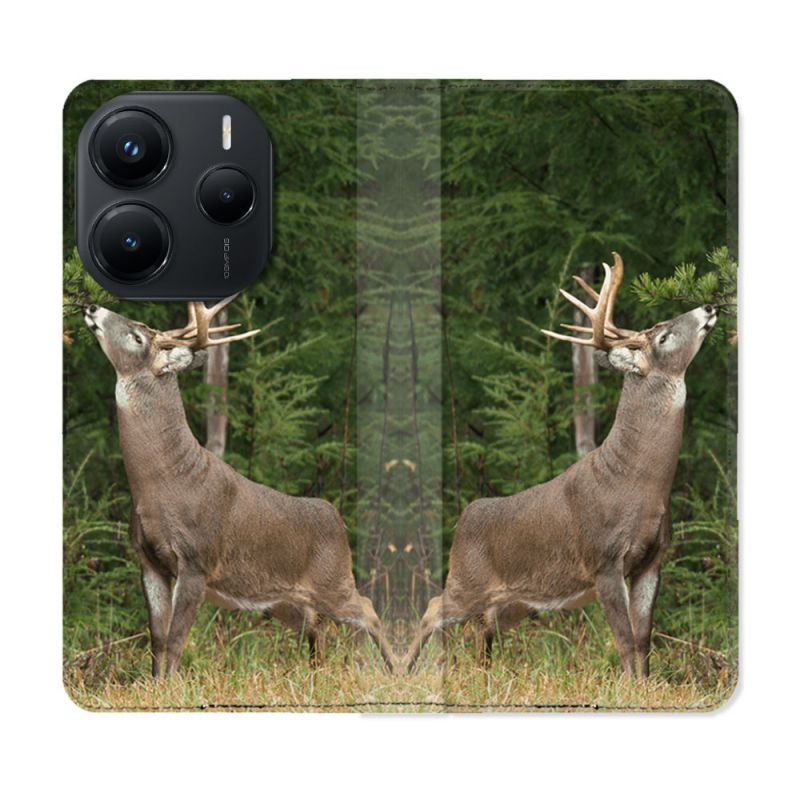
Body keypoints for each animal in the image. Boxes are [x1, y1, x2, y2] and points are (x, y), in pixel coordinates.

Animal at [84, 297, 396, 677]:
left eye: (137, 336)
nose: (92, 307)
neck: (163, 483)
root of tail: (337, 518)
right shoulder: (147, 559)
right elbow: (156, 639)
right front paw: (154, 685)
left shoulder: (196, 560)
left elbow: (175, 641)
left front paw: (170, 686)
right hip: (282, 599)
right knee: (317, 625)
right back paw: (316, 673)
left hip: (334, 579)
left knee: (368, 610)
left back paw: (399, 670)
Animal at [404, 252, 718, 677]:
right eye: (663, 337)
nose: (709, 306)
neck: (639, 483)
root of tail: (463, 518)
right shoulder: (604, 560)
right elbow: (623, 640)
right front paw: (630, 686)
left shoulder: (653, 560)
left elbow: (643, 641)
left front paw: (648, 685)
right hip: (466, 579)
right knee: (432, 610)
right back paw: (399, 670)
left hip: (515, 600)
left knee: (482, 629)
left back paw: (484, 675)